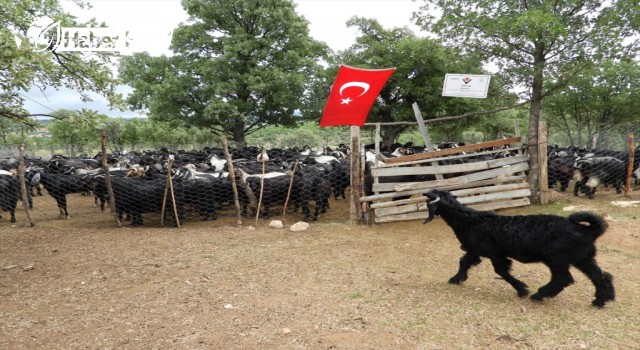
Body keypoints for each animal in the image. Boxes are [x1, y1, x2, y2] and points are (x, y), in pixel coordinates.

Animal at [424, 190, 616, 308]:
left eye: (429, 201)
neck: (471, 220)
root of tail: (587, 230)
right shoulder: (476, 250)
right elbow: (464, 261)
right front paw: (457, 278)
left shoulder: (494, 253)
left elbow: (501, 271)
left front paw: (522, 289)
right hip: (583, 257)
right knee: (599, 275)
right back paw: (601, 299)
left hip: (557, 258)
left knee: (563, 279)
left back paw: (539, 295)